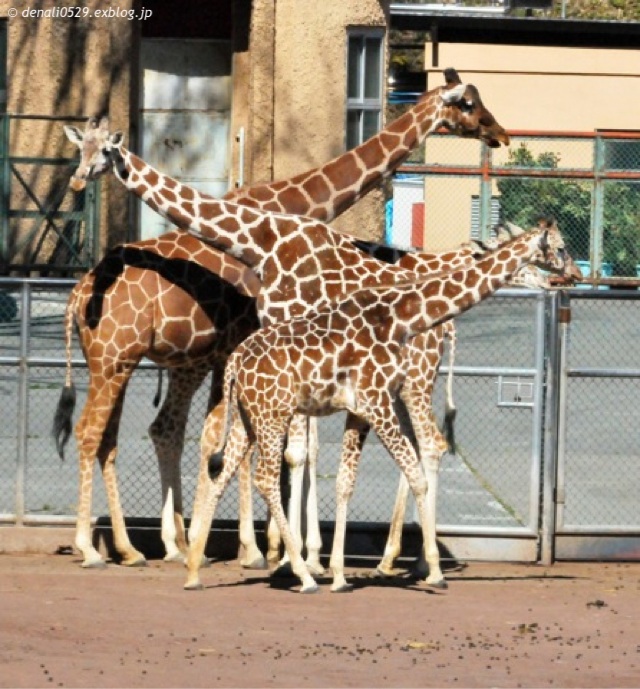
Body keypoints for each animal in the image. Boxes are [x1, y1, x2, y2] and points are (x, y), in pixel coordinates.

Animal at [55, 67, 508, 568]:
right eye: (468, 103)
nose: (499, 132)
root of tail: (77, 294)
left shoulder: (238, 355)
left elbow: (252, 444)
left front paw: (265, 545)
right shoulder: (244, 350)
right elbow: (257, 446)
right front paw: (270, 548)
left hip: (129, 362)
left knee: (136, 434)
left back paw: (143, 545)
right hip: (115, 360)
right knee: (98, 434)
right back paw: (102, 547)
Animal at [184, 220, 580, 592]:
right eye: (560, 247)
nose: (573, 275)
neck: (401, 317)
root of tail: (236, 360)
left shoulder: (361, 410)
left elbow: (346, 481)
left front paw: (340, 575)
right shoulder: (376, 402)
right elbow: (415, 475)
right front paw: (434, 572)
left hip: (248, 418)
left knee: (222, 472)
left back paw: (194, 571)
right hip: (273, 415)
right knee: (265, 477)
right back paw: (301, 574)